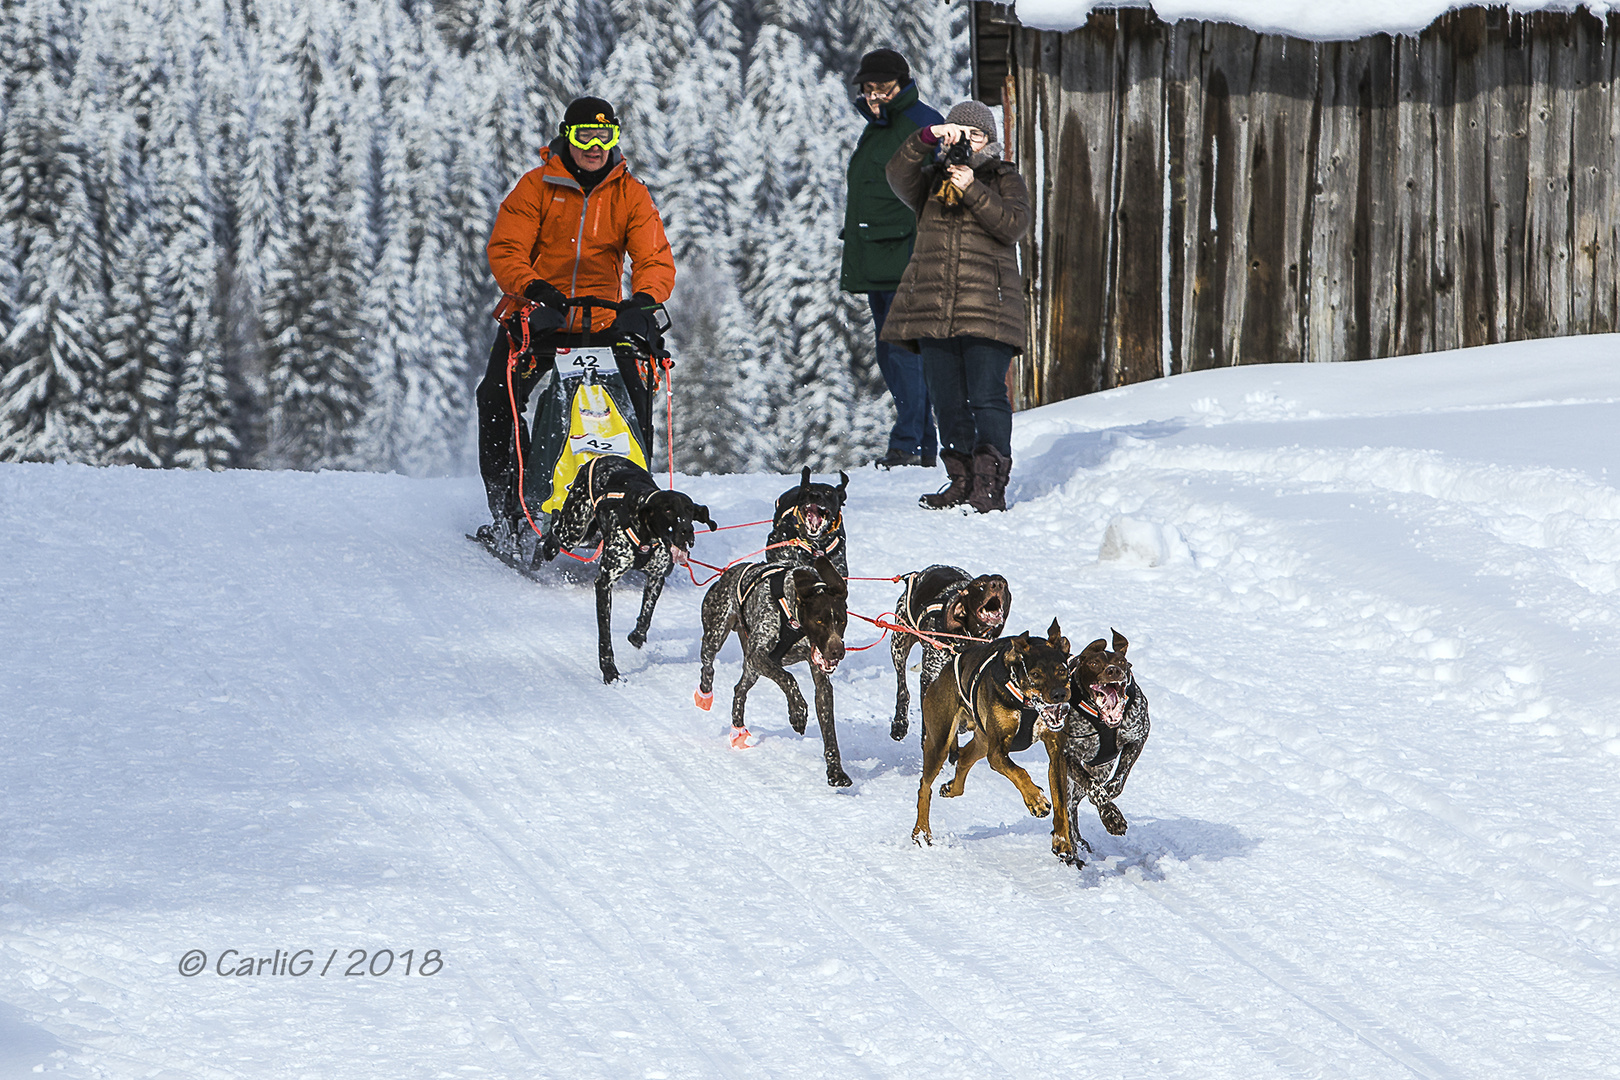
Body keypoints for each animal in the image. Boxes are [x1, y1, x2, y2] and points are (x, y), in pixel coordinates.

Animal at [544, 453, 716, 683]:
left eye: (689, 510)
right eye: (668, 510)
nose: (687, 530)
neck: (645, 534)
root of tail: (602, 457)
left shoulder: (656, 577)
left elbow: (647, 613)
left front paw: (637, 636)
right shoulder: (605, 583)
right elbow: (605, 635)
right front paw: (610, 671)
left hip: (588, 533)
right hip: (574, 530)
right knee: (555, 528)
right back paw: (546, 548)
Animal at [690, 557, 855, 786]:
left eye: (841, 621)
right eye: (819, 620)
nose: (837, 651)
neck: (794, 620)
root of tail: (728, 573)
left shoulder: (820, 681)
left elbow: (829, 732)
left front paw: (835, 772)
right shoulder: (759, 655)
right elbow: (788, 678)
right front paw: (798, 712)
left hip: (752, 669)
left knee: (739, 690)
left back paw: (738, 730)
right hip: (716, 635)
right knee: (708, 665)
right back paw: (705, 694)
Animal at [887, 566, 1010, 744]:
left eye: (1004, 583)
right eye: (980, 583)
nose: (998, 584)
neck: (967, 639)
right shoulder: (930, 677)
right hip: (898, 644)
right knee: (903, 689)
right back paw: (899, 723)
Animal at [913, 621, 1075, 848]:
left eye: (1062, 670)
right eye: (1035, 674)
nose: (1059, 694)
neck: (1026, 704)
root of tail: (943, 672)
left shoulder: (1056, 753)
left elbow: (1060, 800)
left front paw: (1062, 839)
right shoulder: (997, 752)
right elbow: (1019, 772)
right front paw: (1036, 800)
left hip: (982, 739)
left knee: (964, 757)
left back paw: (952, 788)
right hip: (940, 741)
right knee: (924, 787)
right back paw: (921, 832)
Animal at [1036, 628, 1153, 867]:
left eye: (1121, 662)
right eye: (1093, 663)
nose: (1113, 670)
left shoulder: (1138, 737)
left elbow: (1119, 780)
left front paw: (1110, 795)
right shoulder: (1067, 756)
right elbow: (1094, 788)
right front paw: (1111, 816)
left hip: (1099, 768)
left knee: (1074, 805)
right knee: (1067, 809)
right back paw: (1070, 850)